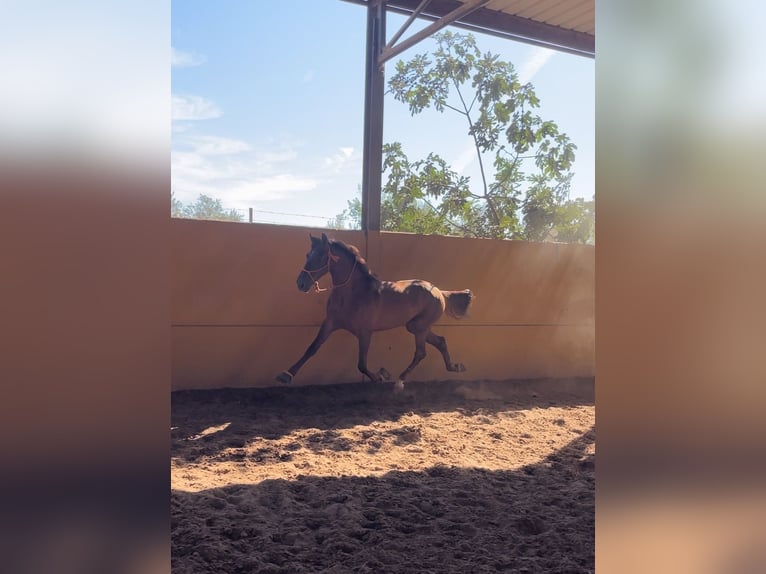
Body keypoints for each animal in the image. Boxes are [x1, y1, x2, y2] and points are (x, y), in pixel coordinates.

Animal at [276, 232, 474, 390]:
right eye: (308, 254)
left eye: (320, 256)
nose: (300, 283)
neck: (353, 293)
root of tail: (439, 291)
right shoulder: (330, 323)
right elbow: (312, 348)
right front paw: (286, 375)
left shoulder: (365, 332)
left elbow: (361, 364)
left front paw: (381, 376)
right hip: (416, 326)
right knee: (440, 342)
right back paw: (456, 367)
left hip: (419, 327)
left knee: (421, 352)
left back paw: (399, 381)